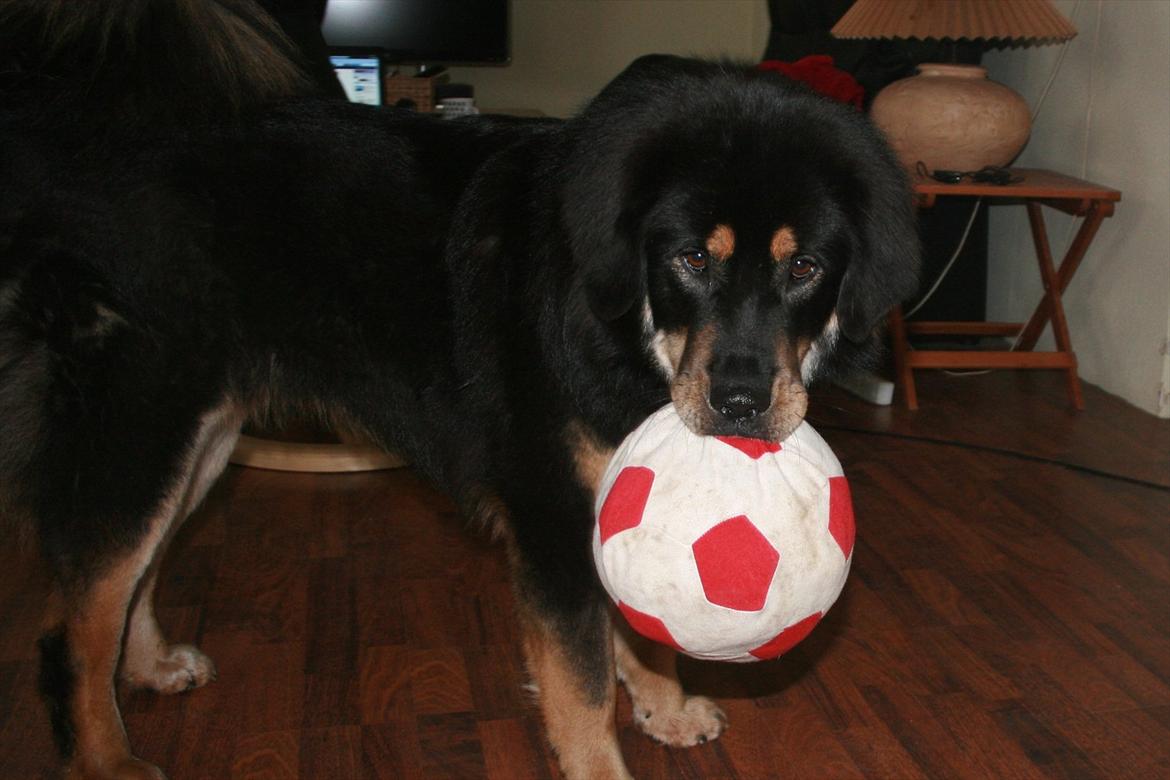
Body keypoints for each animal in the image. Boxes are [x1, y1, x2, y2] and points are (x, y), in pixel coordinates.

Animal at [0, 3, 917, 776]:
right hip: (139, 425)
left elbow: (644, 627)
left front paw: (665, 705)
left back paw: (150, 666)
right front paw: (604, 760)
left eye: (805, 269)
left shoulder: (613, 501)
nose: (739, 403)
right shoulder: (550, 516)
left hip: (198, 440)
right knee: (71, 624)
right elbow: (582, 684)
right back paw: (106, 760)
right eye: (692, 258)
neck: (624, 334)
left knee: (133, 580)